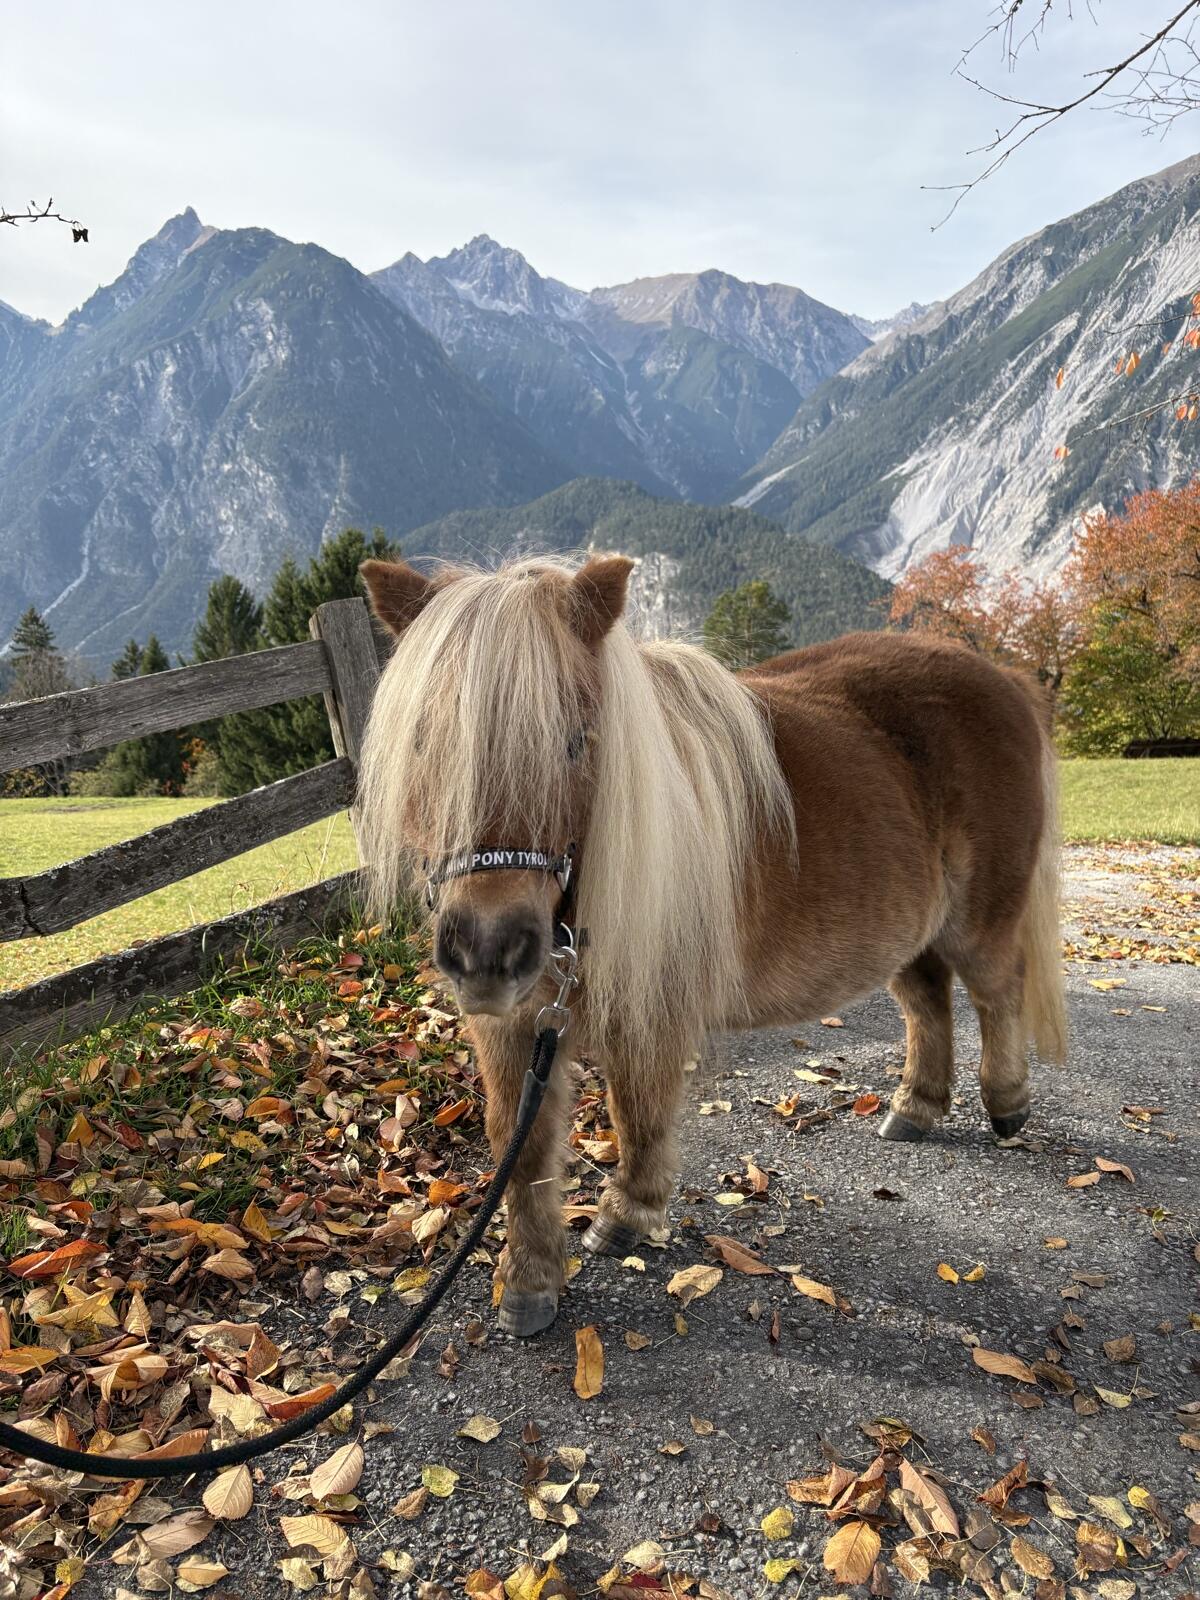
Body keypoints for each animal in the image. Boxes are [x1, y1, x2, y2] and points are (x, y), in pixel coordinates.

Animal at [357, 552, 1066, 1335]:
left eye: (575, 740)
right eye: (421, 743)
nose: (488, 951)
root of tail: (1004, 679)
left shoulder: (651, 1015)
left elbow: (637, 1113)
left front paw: (627, 1217)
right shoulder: (514, 1024)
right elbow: (521, 1142)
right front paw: (530, 1280)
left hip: (981, 921)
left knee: (996, 991)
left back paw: (1006, 1103)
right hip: (908, 932)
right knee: (928, 1001)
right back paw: (915, 1107)